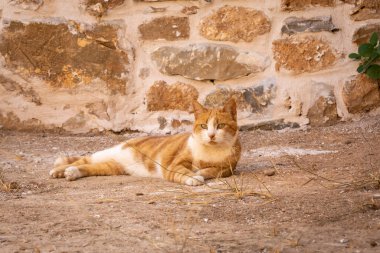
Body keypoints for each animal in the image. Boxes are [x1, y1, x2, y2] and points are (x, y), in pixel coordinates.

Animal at [49, 99, 240, 186]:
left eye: (220, 126)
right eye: (203, 126)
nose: (211, 135)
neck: (210, 152)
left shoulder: (226, 169)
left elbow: (212, 170)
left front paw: (200, 173)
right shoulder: (174, 165)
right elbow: (183, 171)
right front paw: (193, 177)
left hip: (111, 167)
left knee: (88, 167)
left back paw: (71, 173)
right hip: (106, 153)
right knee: (84, 159)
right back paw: (60, 170)